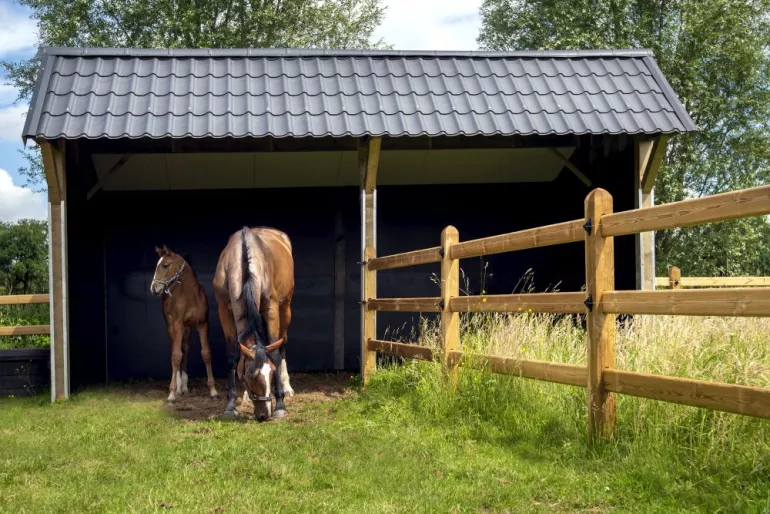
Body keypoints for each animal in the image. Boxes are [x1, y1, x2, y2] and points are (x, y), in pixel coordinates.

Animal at [150, 245, 218, 403]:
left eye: (165, 265)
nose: (154, 288)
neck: (191, 295)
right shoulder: (177, 324)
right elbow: (176, 356)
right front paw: (172, 394)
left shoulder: (202, 324)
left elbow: (206, 353)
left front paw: (213, 391)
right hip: (173, 327)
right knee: (176, 350)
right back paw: (179, 387)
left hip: (187, 329)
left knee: (185, 348)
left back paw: (184, 386)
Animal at [212, 226, 295, 422]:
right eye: (249, 376)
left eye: (271, 372)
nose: (264, 414)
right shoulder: (224, 310)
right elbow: (233, 355)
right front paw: (231, 406)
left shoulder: (271, 307)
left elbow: (275, 352)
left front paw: (280, 405)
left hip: (285, 307)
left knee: (282, 342)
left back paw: (287, 387)